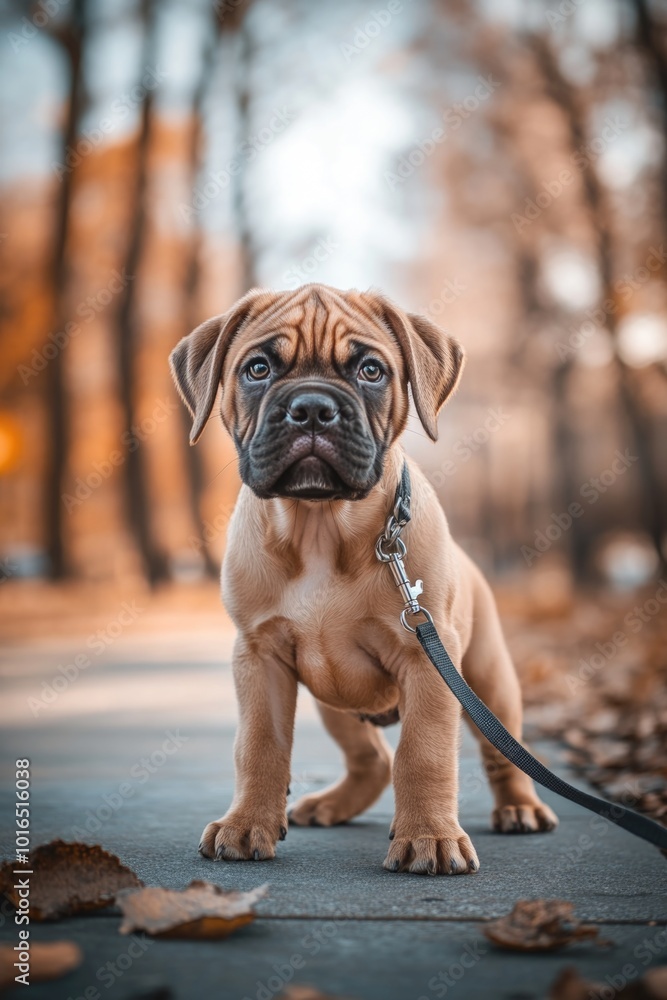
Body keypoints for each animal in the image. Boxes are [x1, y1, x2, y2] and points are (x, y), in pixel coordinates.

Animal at [170, 284, 556, 876]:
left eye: (371, 370)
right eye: (257, 368)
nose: (311, 408)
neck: (319, 526)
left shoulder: (428, 661)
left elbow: (423, 753)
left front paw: (430, 837)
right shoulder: (260, 657)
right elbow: (258, 745)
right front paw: (246, 824)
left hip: (487, 680)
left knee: (501, 751)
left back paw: (520, 808)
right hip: (337, 703)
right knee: (369, 759)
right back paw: (331, 804)